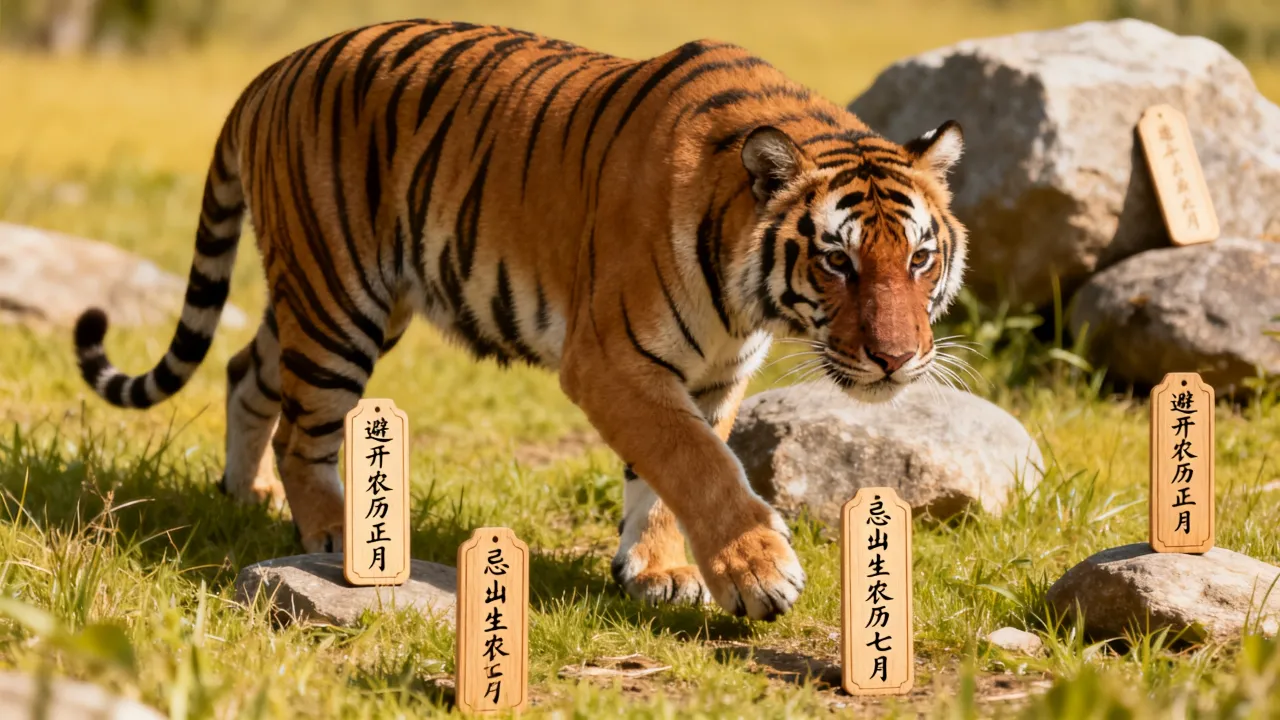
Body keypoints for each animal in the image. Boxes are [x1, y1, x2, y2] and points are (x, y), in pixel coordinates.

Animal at [72, 19, 967, 621]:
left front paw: (657, 571)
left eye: (920, 258)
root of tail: (271, 72)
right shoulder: (612, 359)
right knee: (305, 430)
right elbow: (697, 464)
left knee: (246, 372)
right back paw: (328, 532)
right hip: (338, 300)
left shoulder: (710, 375)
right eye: (838, 262)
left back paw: (244, 493)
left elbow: (666, 478)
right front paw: (757, 573)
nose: (897, 360)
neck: (748, 298)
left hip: (337, 296)